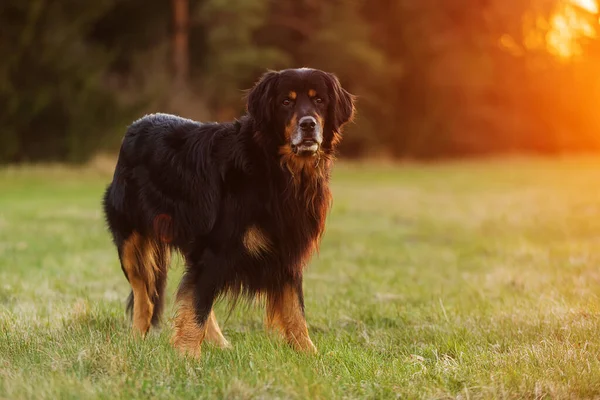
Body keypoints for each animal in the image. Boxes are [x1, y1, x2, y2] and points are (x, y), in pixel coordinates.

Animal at [102, 67, 356, 358]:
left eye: (319, 101)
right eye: (286, 102)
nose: (308, 124)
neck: (276, 167)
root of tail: (135, 125)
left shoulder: (286, 251)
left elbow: (294, 309)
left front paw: (308, 353)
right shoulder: (216, 247)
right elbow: (196, 306)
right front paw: (187, 355)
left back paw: (219, 343)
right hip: (131, 241)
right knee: (145, 295)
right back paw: (137, 339)